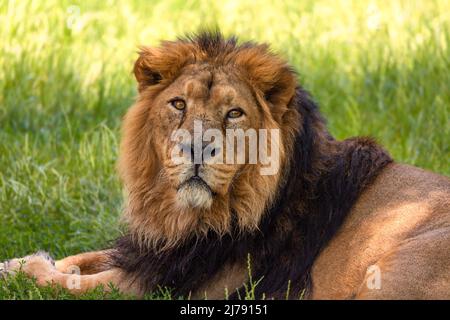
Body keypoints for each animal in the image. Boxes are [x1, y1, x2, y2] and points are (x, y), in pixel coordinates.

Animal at [0, 31, 450, 298]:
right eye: (178, 104)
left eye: (234, 114)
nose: (197, 148)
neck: (191, 219)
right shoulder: (154, 253)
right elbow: (83, 256)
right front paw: (14, 262)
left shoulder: (166, 287)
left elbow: (69, 282)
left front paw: (28, 271)